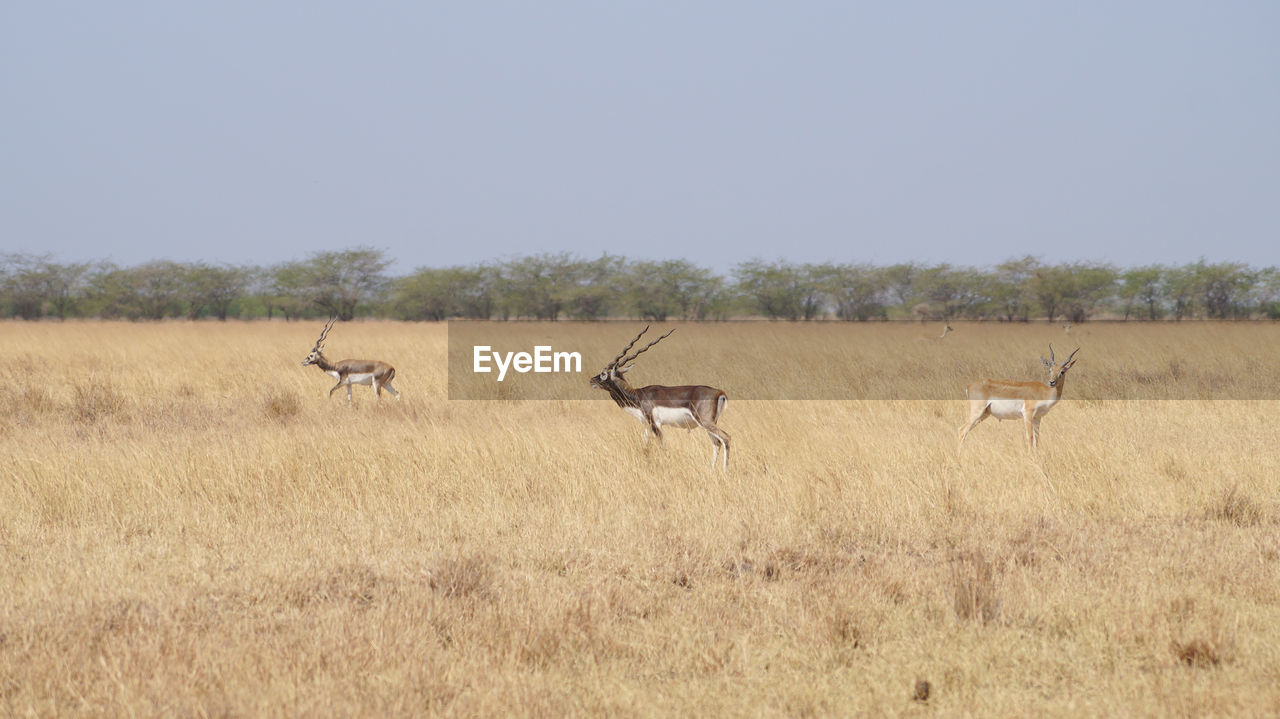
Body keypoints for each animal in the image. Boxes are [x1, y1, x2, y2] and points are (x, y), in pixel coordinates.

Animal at [588, 324, 732, 470]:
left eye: (603, 374)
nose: (591, 380)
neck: (637, 395)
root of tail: (719, 392)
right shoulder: (647, 425)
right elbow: (646, 446)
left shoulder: (655, 423)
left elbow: (662, 445)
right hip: (709, 424)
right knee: (716, 443)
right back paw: (712, 469)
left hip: (705, 422)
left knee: (726, 438)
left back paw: (725, 470)